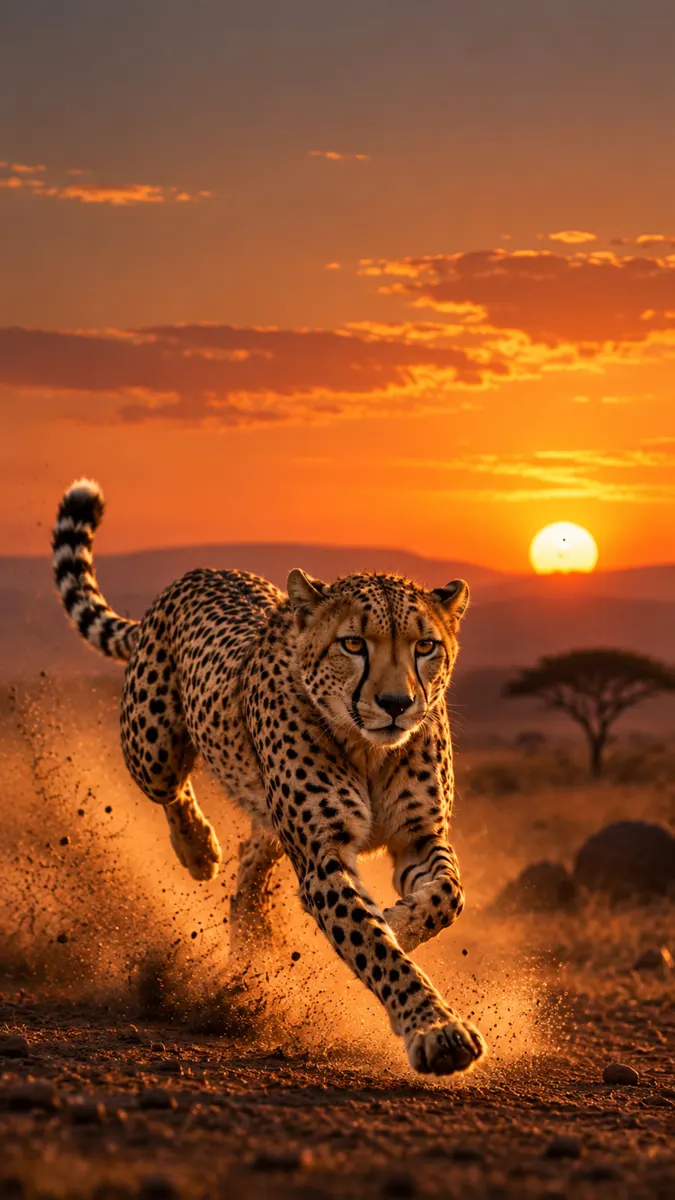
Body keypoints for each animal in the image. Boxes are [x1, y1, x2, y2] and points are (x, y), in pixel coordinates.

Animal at [52, 478, 487, 1077]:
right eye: (354, 644)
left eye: (426, 646)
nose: (397, 704)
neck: (368, 749)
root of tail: (199, 572)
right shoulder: (324, 857)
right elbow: (375, 949)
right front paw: (435, 1028)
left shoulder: (418, 835)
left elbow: (448, 893)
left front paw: (402, 921)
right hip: (151, 746)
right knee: (173, 792)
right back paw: (197, 849)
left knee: (256, 847)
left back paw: (250, 936)